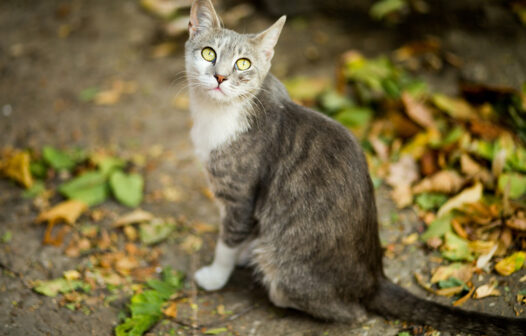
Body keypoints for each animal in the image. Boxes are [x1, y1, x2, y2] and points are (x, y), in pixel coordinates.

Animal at [185, 0, 526, 334]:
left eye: (243, 64)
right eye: (209, 53)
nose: (220, 77)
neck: (218, 113)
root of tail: (373, 278)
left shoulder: (240, 193)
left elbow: (229, 238)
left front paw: (216, 274)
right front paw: (240, 253)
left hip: (287, 272)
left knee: (344, 311)